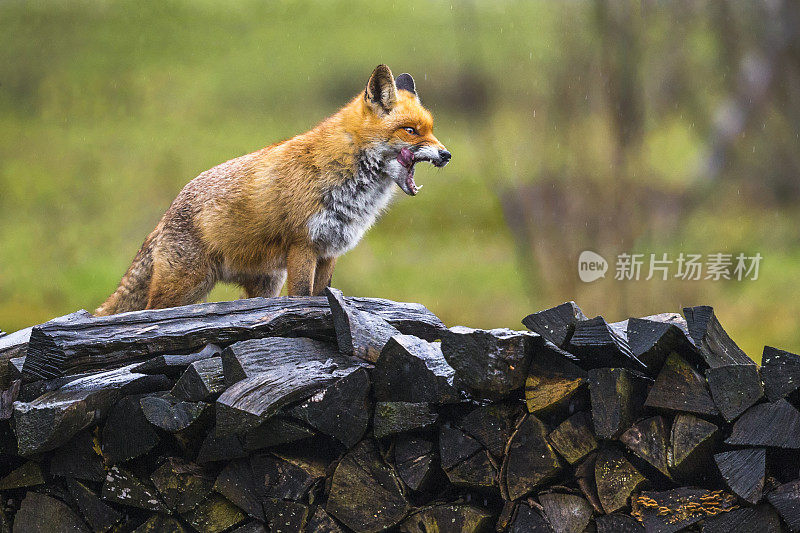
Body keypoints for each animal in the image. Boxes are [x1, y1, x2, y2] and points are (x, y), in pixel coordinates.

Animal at [94, 66, 450, 316]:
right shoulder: (302, 246)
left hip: (263, 284)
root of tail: (166, 214)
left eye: (432, 130)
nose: (446, 154)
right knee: (148, 311)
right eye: (411, 131)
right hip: (186, 286)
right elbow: (302, 297)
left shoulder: (329, 251)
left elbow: (321, 295)